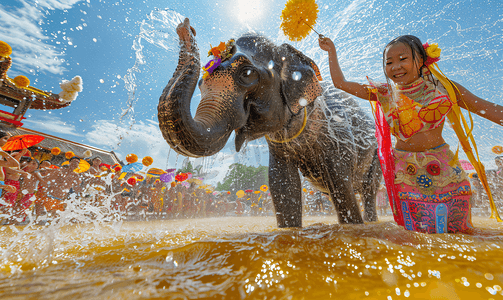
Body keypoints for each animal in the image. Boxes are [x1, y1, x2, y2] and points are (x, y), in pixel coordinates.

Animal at [158, 18, 382, 229]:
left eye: (247, 74)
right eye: (201, 84)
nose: (185, 26)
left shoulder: (337, 137)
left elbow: (340, 185)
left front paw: (354, 226)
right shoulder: (279, 147)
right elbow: (282, 185)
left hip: (376, 158)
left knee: (368, 191)